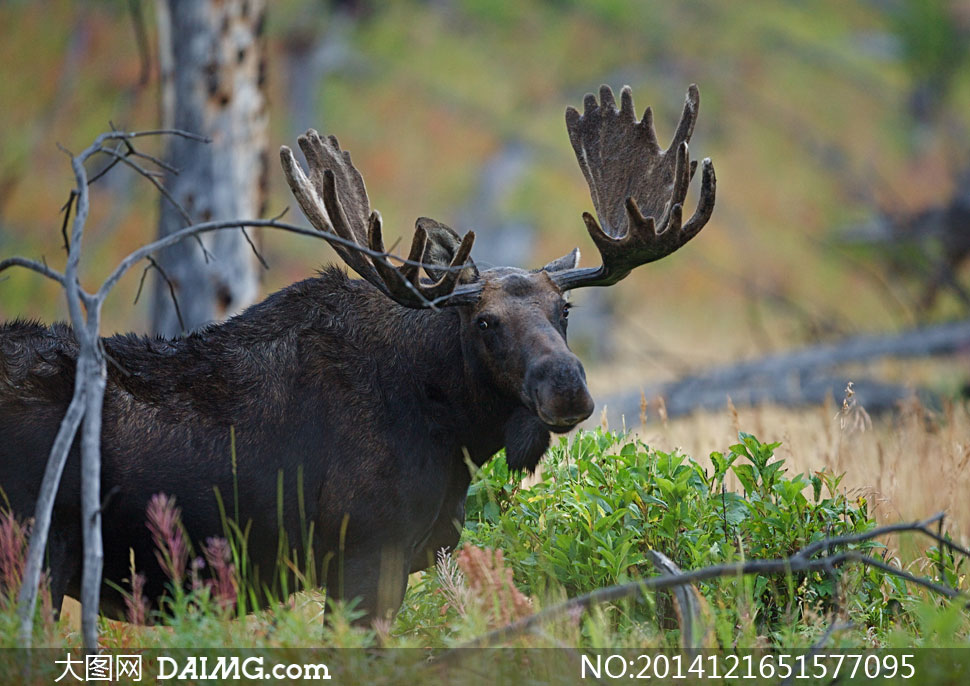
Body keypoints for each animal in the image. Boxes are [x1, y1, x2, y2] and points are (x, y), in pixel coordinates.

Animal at [0, 84, 712, 624]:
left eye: (564, 311)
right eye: (484, 321)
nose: (567, 386)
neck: (451, 432)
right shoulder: (365, 553)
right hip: (33, 549)